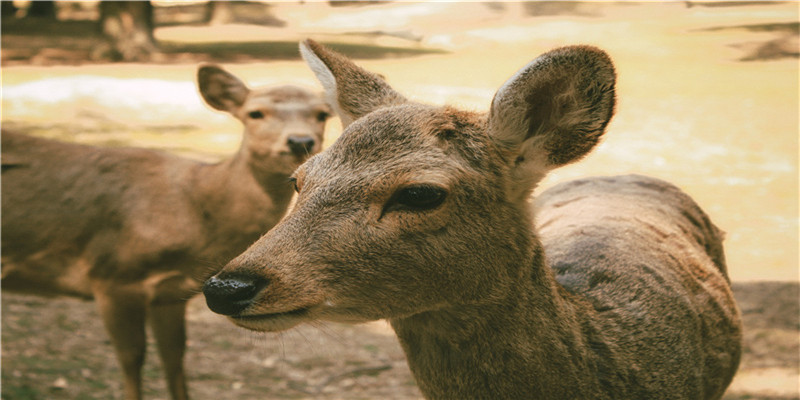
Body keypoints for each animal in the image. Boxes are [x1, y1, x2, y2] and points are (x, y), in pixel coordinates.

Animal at [0, 65, 332, 400]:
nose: (299, 141)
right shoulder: (112, 274)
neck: (195, 210)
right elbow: (132, 358)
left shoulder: (171, 293)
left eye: (322, 114)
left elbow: (175, 357)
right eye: (255, 113)